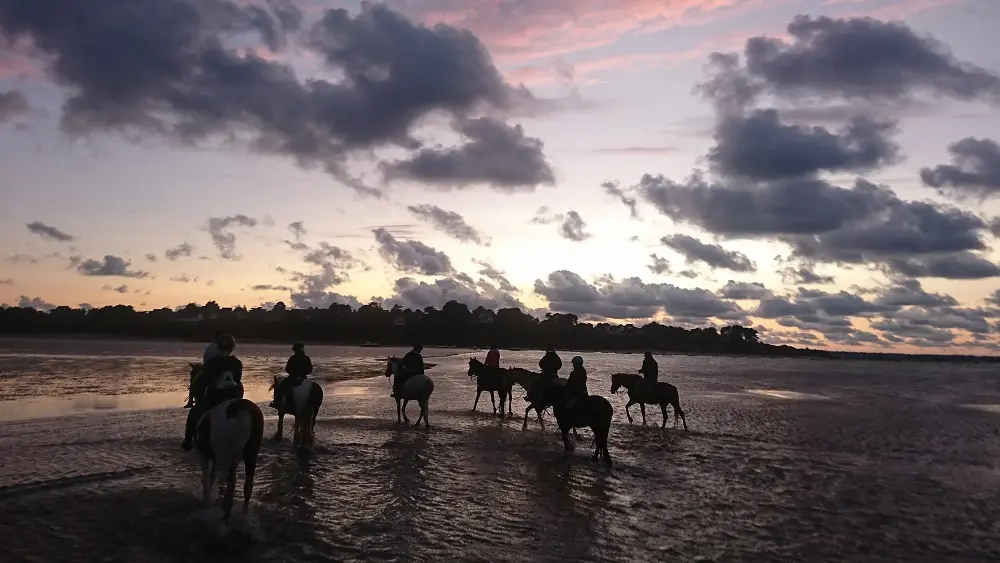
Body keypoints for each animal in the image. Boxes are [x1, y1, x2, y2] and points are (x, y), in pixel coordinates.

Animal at [193, 396, 264, 524]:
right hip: (250, 455)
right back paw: (242, 514)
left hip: (224, 457)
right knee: (247, 484)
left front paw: (207, 503)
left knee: (231, 483)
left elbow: (206, 479)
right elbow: (212, 477)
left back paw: (225, 516)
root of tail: (242, 410)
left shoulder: (204, 456)